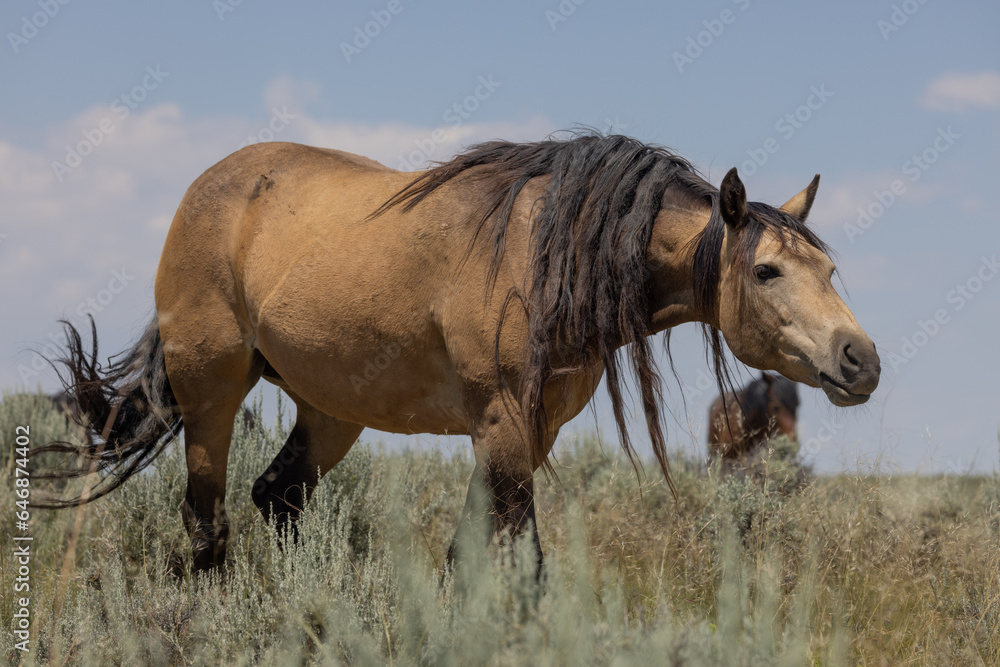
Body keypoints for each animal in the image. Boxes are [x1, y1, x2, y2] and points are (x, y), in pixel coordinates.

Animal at [31, 133, 880, 572]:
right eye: (767, 270)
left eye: (830, 269)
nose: (860, 360)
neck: (552, 257)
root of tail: (209, 187)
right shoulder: (501, 423)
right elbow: (518, 558)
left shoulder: (529, 430)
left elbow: (473, 551)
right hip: (211, 394)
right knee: (207, 523)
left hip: (329, 412)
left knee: (277, 498)